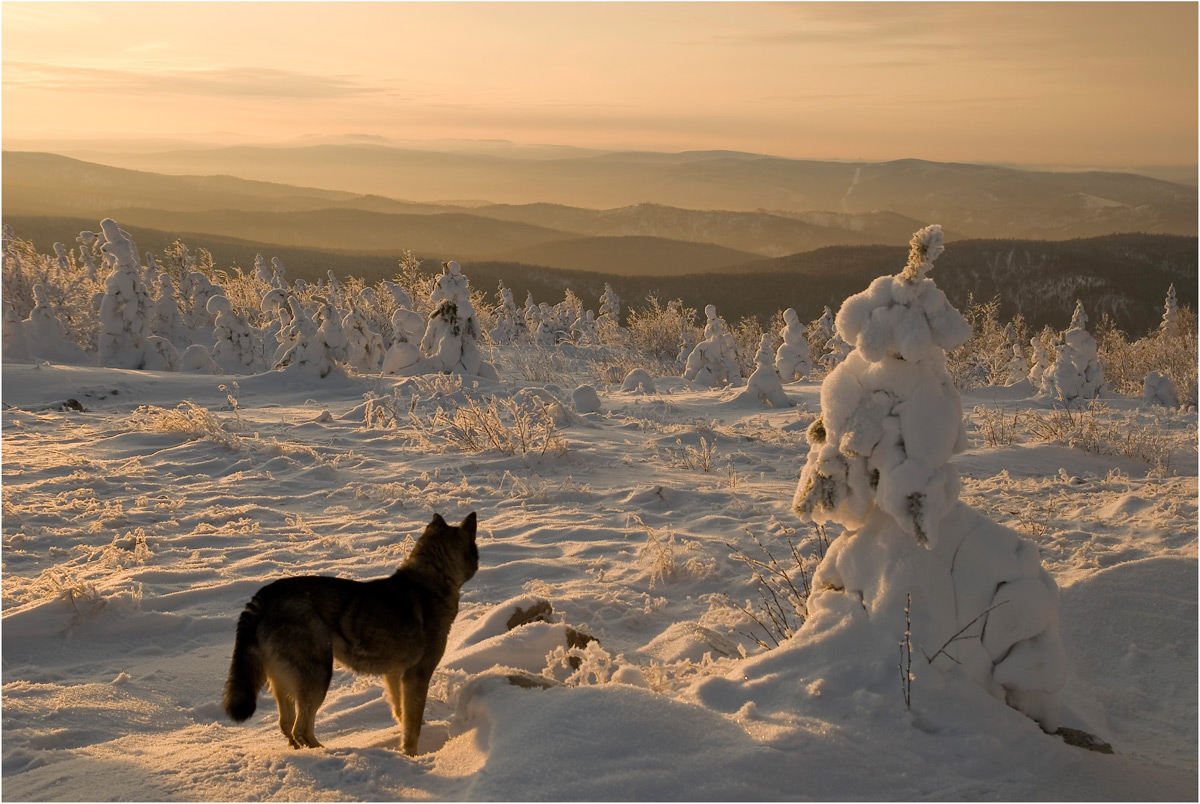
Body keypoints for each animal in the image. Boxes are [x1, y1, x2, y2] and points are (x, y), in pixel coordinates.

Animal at [223, 516, 475, 758]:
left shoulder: (396, 675)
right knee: (300, 729)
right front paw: (411, 755)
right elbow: (412, 727)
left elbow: (401, 712)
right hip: (319, 676)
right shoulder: (417, 675)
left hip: (285, 682)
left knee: (287, 726)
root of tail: (265, 594)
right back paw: (329, 752)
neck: (429, 581)